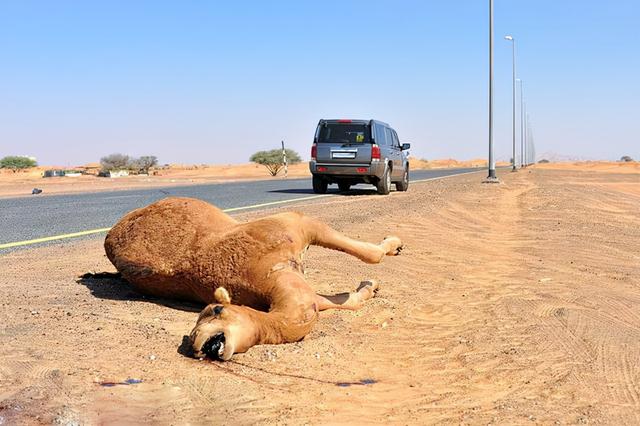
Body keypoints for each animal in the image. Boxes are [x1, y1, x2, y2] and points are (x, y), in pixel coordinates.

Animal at [107, 196, 402, 360]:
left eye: (216, 310)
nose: (197, 342)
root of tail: (110, 235)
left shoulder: (296, 225)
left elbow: (368, 260)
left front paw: (390, 251)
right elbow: (346, 295)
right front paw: (373, 282)